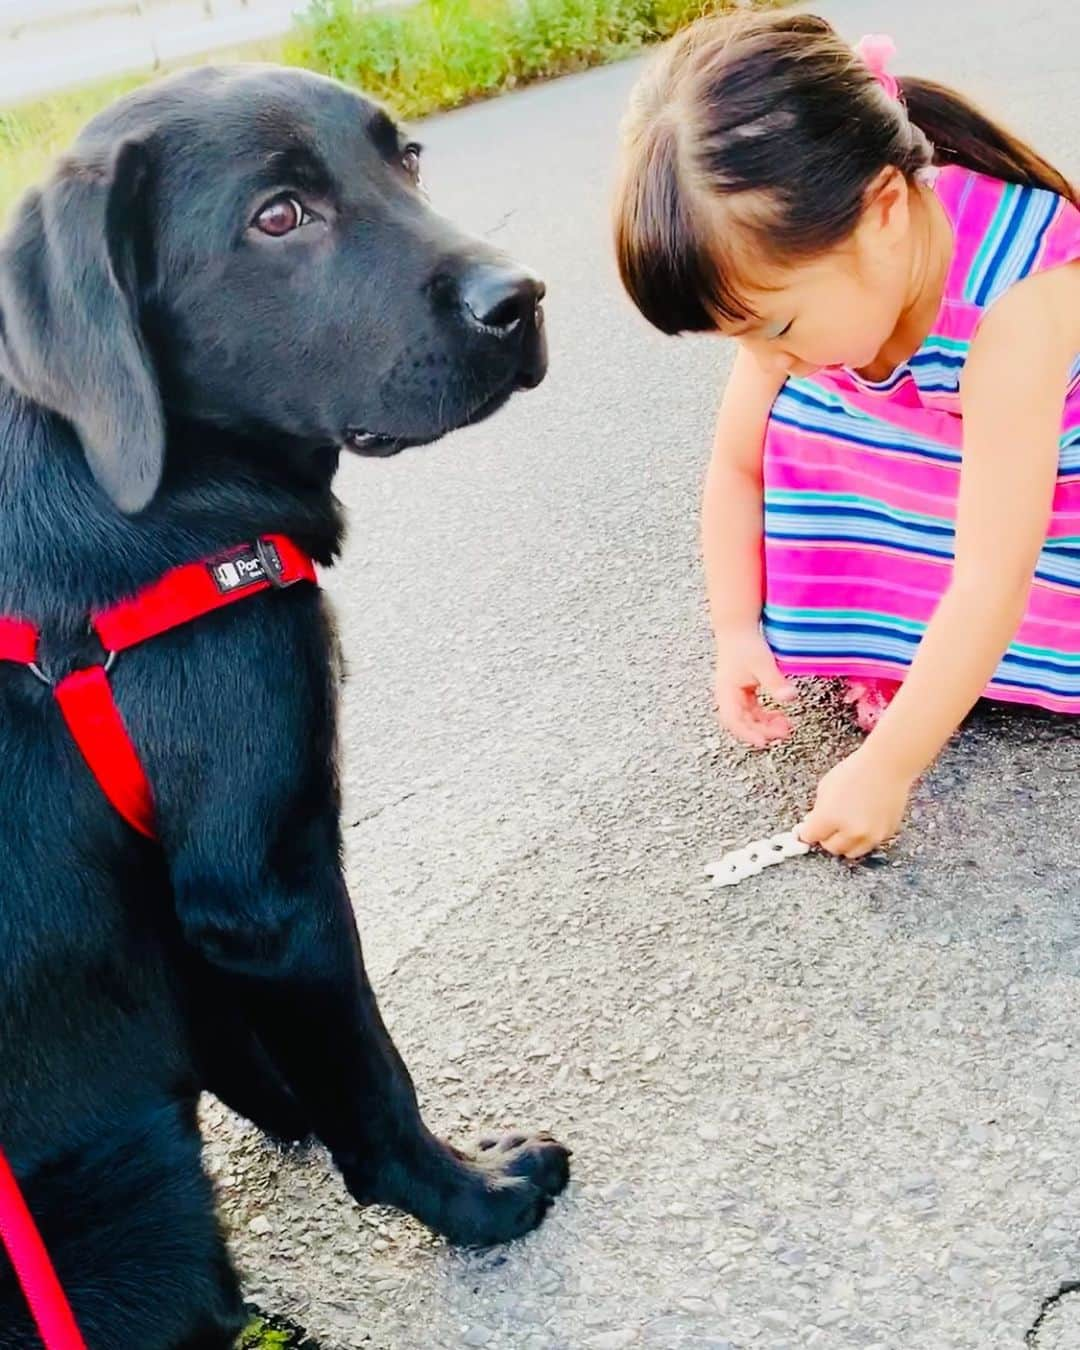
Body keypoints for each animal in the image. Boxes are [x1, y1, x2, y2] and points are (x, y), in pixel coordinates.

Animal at [0, 65, 569, 1350]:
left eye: (408, 155)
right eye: (277, 219)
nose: (522, 300)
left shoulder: (191, 899)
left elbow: (236, 1038)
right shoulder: (270, 881)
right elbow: (370, 1071)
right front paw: (472, 1195)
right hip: (144, 1195)